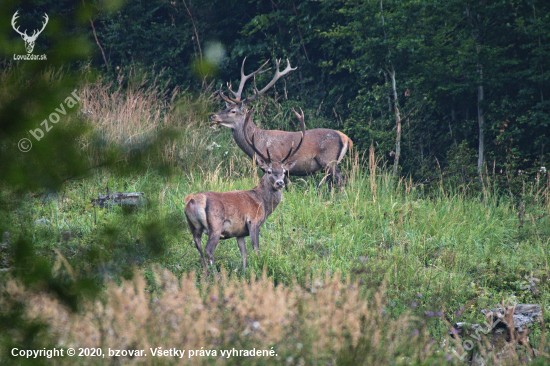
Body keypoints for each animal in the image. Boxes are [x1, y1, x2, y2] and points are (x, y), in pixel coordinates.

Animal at [184, 106, 306, 268]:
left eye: (284, 172)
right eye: (269, 171)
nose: (280, 183)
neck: (262, 203)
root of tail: (192, 201)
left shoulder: (239, 233)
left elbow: (244, 255)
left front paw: (245, 272)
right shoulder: (253, 222)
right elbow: (256, 250)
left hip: (193, 227)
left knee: (199, 249)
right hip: (215, 225)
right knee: (208, 250)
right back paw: (215, 273)